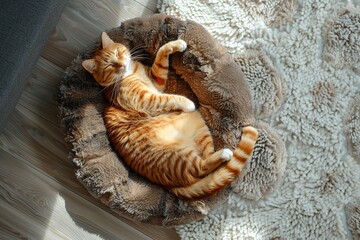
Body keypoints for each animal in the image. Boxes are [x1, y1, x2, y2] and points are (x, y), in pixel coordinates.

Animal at [82, 32, 258, 201]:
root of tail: (169, 187)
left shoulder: (156, 80)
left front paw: (176, 44)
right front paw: (187, 102)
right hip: (180, 156)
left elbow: (161, 57)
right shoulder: (146, 100)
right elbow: (168, 98)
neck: (130, 73)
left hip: (200, 128)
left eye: (118, 53)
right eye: (109, 65)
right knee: (201, 169)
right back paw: (224, 153)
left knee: (207, 160)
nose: (121, 64)